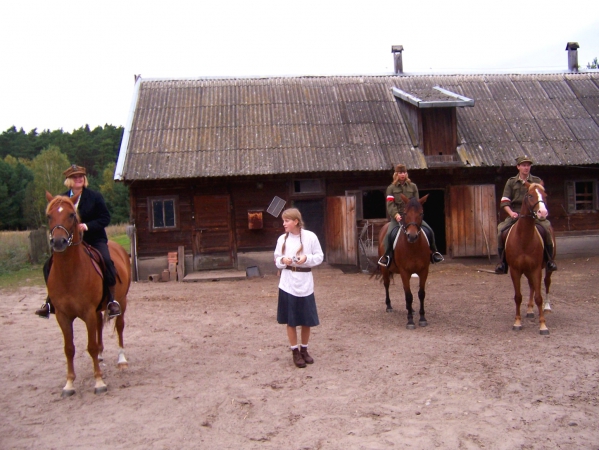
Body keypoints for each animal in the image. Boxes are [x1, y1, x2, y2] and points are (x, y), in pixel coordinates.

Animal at [45, 192, 132, 396]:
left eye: (71, 215)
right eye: (49, 216)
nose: (58, 242)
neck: (69, 273)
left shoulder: (87, 312)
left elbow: (90, 346)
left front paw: (99, 382)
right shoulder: (63, 315)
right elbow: (69, 348)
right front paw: (69, 384)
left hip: (121, 302)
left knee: (119, 326)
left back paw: (121, 359)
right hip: (97, 309)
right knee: (99, 326)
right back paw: (100, 356)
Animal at [376, 195, 432, 328]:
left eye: (421, 213)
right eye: (405, 213)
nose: (412, 236)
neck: (413, 247)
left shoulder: (424, 271)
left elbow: (421, 294)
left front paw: (422, 318)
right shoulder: (404, 271)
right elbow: (408, 296)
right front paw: (410, 321)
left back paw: (410, 309)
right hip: (385, 269)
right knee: (387, 284)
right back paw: (389, 306)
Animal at [504, 182, 556, 334]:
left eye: (545, 195)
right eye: (530, 195)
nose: (542, 213)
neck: (524, 239)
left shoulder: (536, 269)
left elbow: (539, 297)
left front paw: (543, 325)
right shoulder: (515, 270)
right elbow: (518, 297)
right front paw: (517, 323)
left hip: (546, 269)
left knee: (547, 283)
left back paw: (547, 307)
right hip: (526, 270)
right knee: (532, 285)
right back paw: (530, 310)